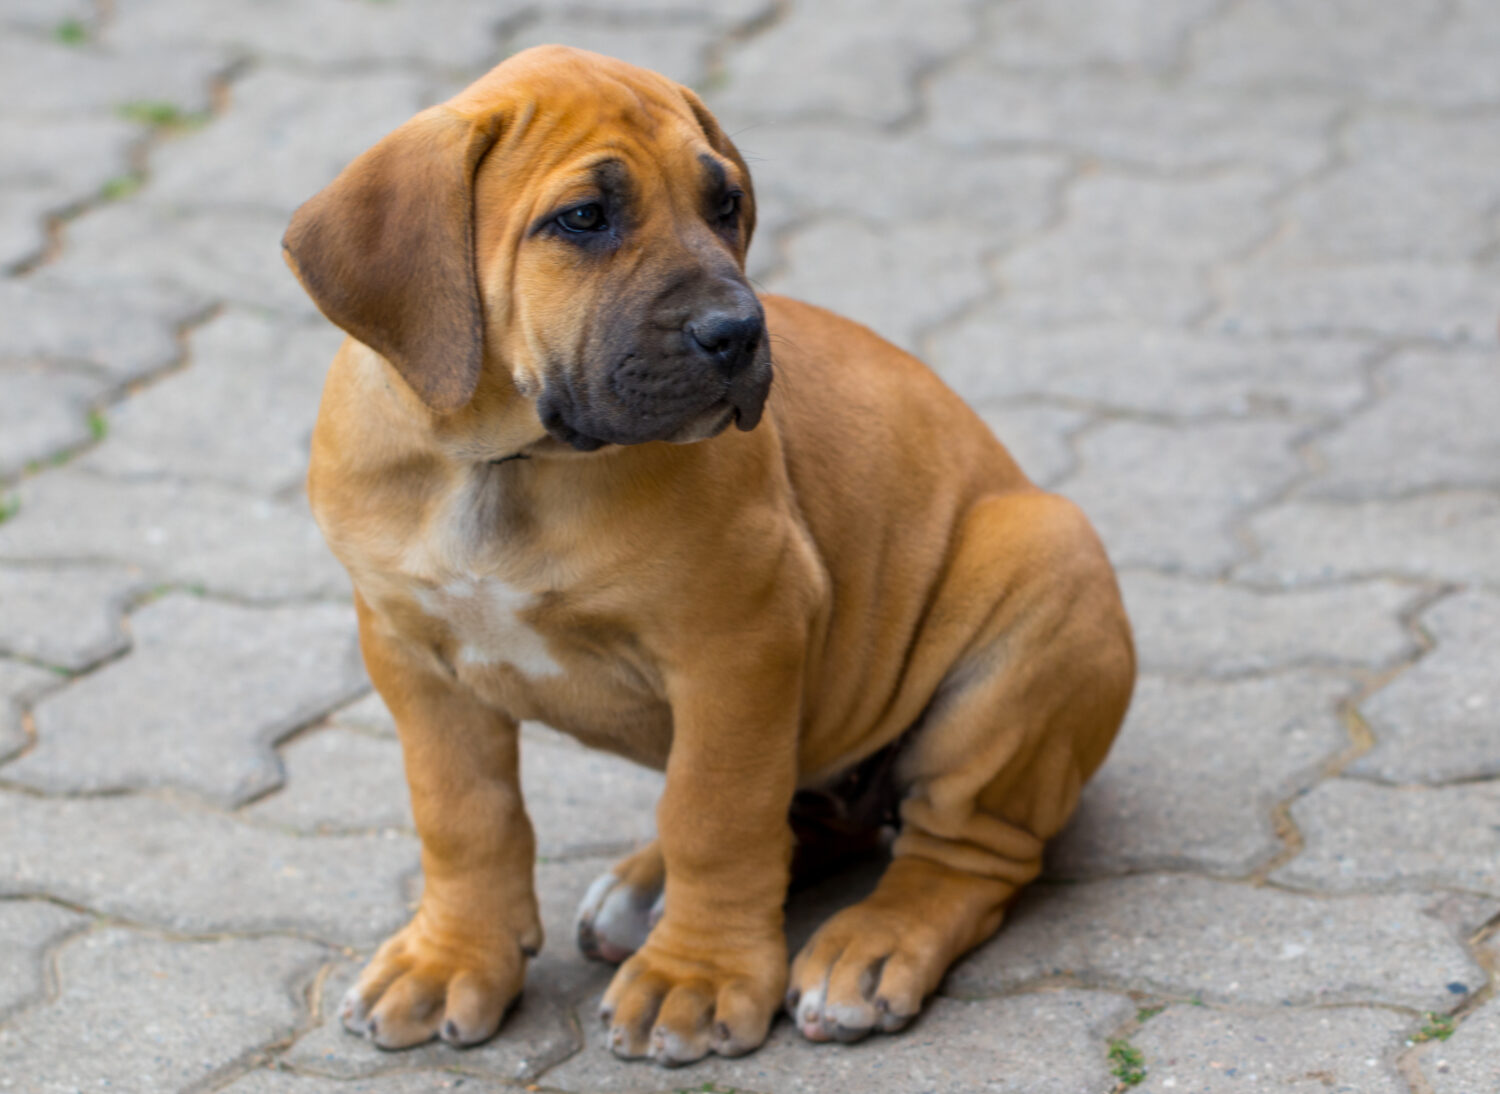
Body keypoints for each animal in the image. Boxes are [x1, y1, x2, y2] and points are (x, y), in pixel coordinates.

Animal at [283, 46, 1134, 1062]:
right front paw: (452, 956)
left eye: (725, 206)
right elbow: (463, 812)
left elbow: (715, 813)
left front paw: (696, 976)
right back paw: (645, 892)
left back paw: (870, 947)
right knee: (807, 818)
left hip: (1038, 590)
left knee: (962, 852)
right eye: (583, 218)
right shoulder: (412, 656)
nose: (737, 333)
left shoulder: (739, 643)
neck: (504, 464)